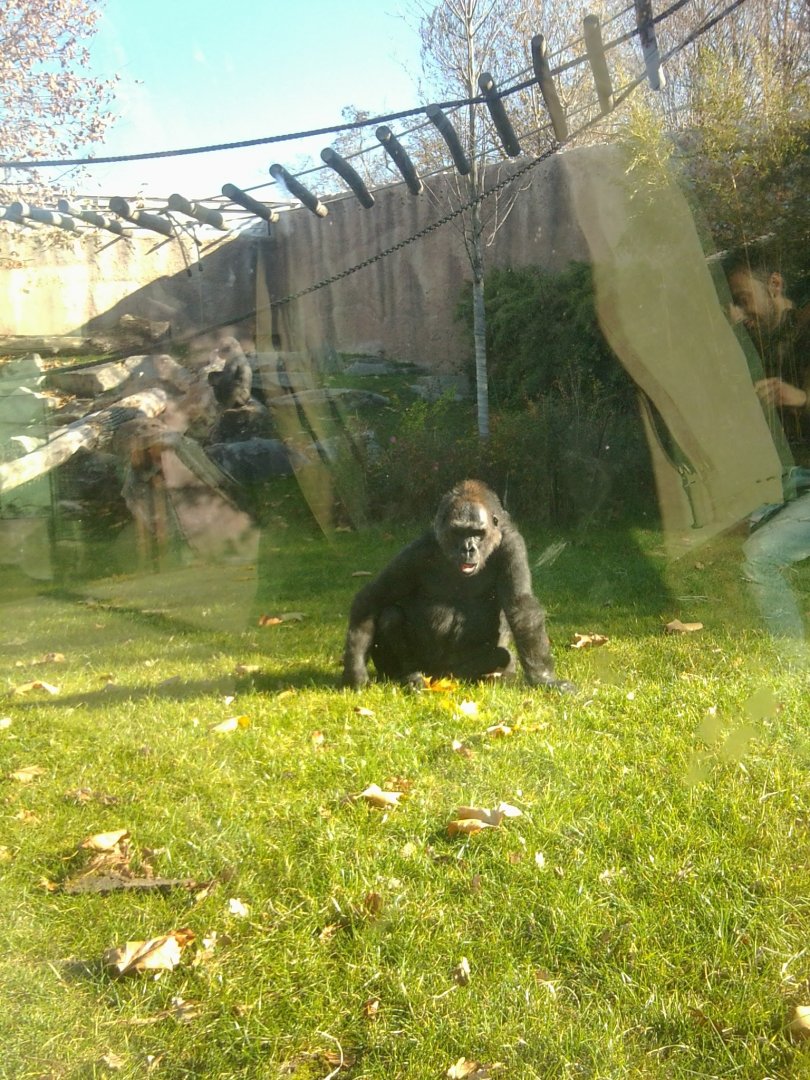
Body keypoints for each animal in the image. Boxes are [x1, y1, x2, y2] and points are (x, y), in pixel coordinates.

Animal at [341, 480, 574, 691]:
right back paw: (409, 675)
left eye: (477, 533)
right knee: (390, 615)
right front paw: (354, 672)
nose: (468, 549)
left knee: (502, 656)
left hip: (456, 672)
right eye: (459, 532)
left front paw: (544, 679)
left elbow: (521, 607)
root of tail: (437, 676)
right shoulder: (418, 551)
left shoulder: (512, 545)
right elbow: (373, 597)